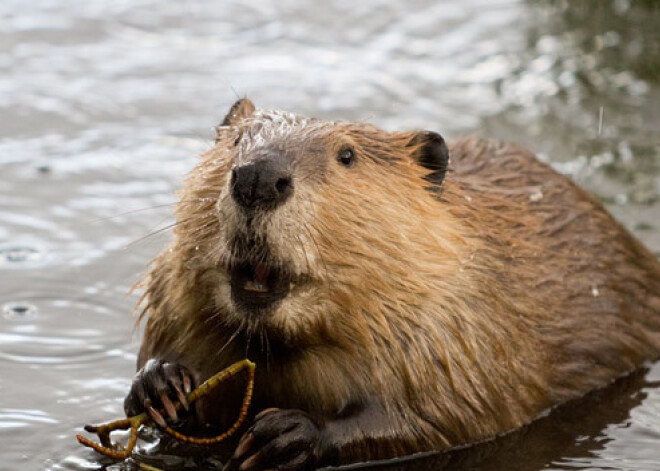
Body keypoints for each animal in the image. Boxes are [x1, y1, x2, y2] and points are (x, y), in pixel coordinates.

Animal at [124, 97, 660, 470]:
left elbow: (447, 416)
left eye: (346, 155)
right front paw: (160, 385)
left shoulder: (459, 331)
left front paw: (286, 434)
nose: (259, 177)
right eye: (237, 142)